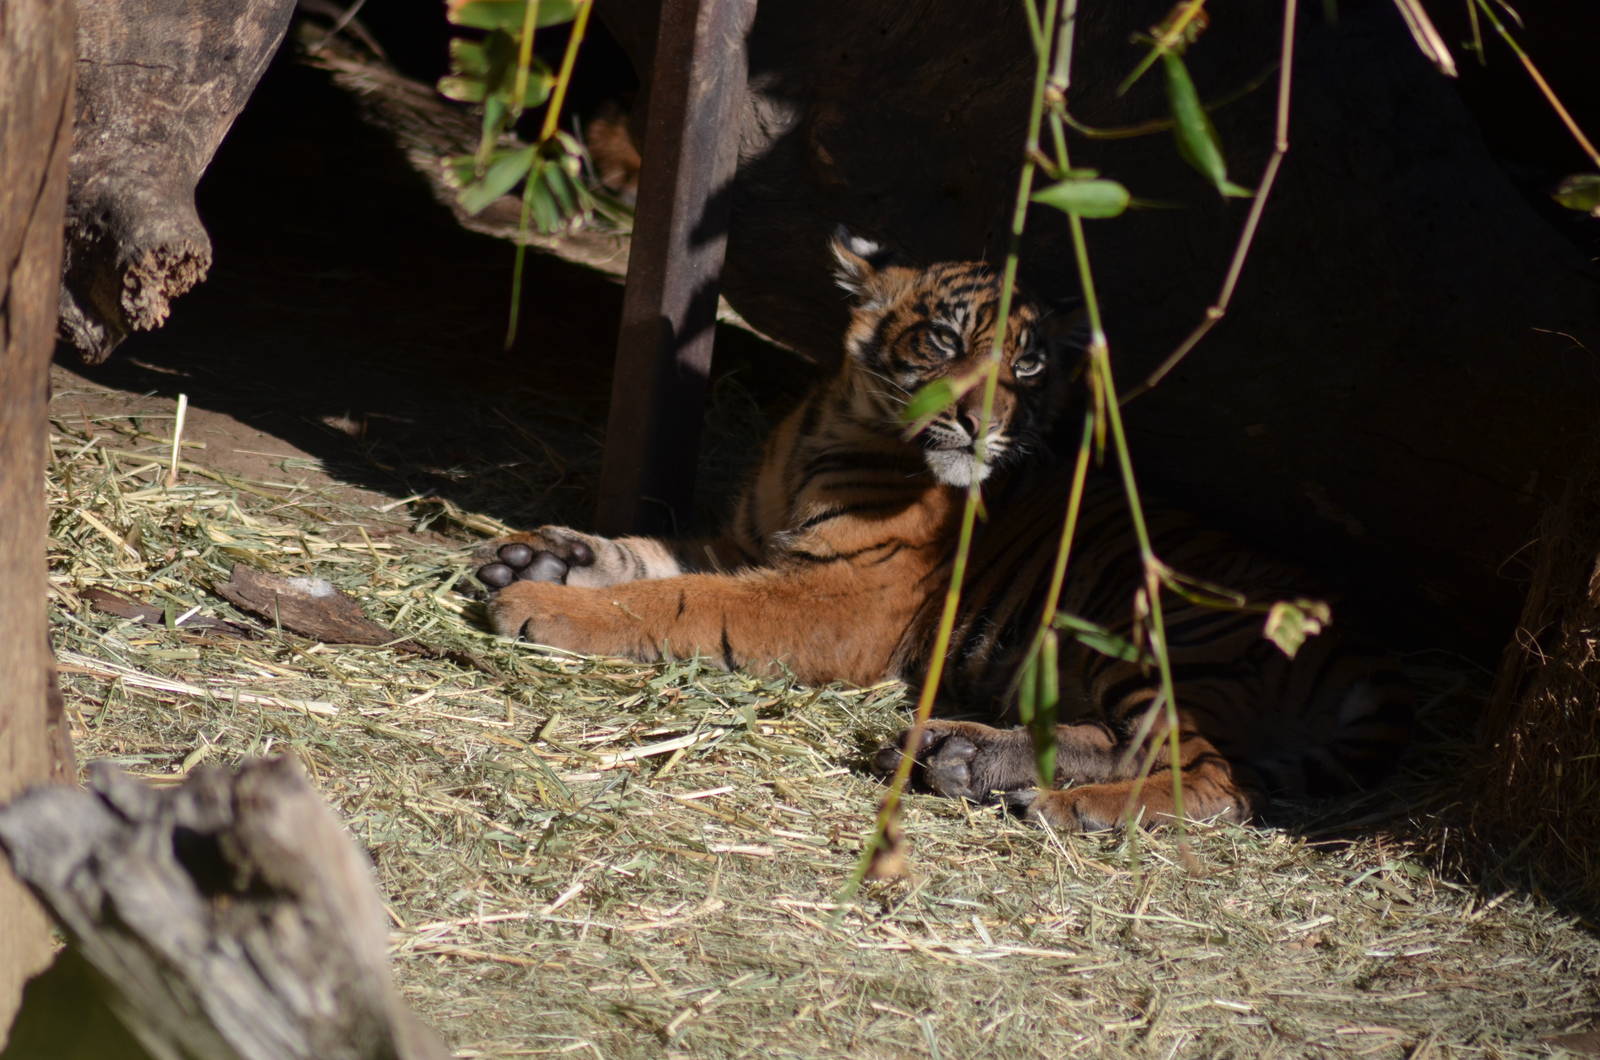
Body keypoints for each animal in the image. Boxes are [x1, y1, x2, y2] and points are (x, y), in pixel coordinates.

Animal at [471, 228, 1411, 832]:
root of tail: (1370, 658)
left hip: (1158, 634)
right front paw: (533, 558)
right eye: (945, 340)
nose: (983, 422)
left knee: (1217, 778)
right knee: (1138, 745)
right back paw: (959, 757)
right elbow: (646, 556)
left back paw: (1066, 809)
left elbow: (681, 600)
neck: (836, 423)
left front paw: (539, 606)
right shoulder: (749, 544)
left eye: (1027, 364)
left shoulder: (839, 598)